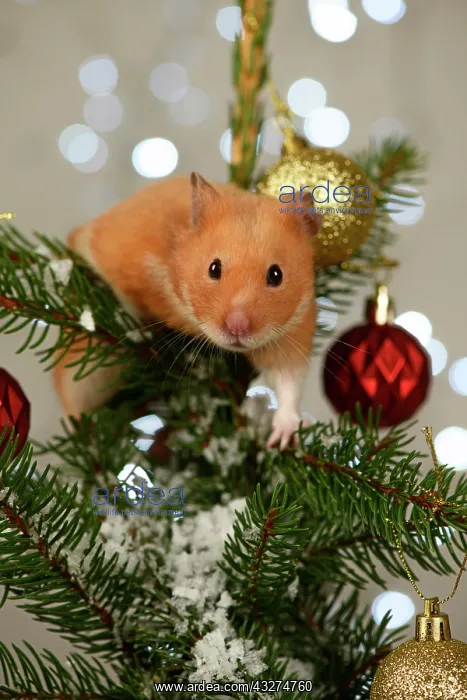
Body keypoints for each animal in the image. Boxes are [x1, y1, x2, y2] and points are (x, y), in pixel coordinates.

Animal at [54, 173, 322, 449]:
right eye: (214, 268)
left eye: (276, 274)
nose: (237, 327)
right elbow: (122, 294)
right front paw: (133, 328)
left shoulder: (292, 331)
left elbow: (289, 383)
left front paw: (284, 437)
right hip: (83, 370)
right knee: (69, 401)